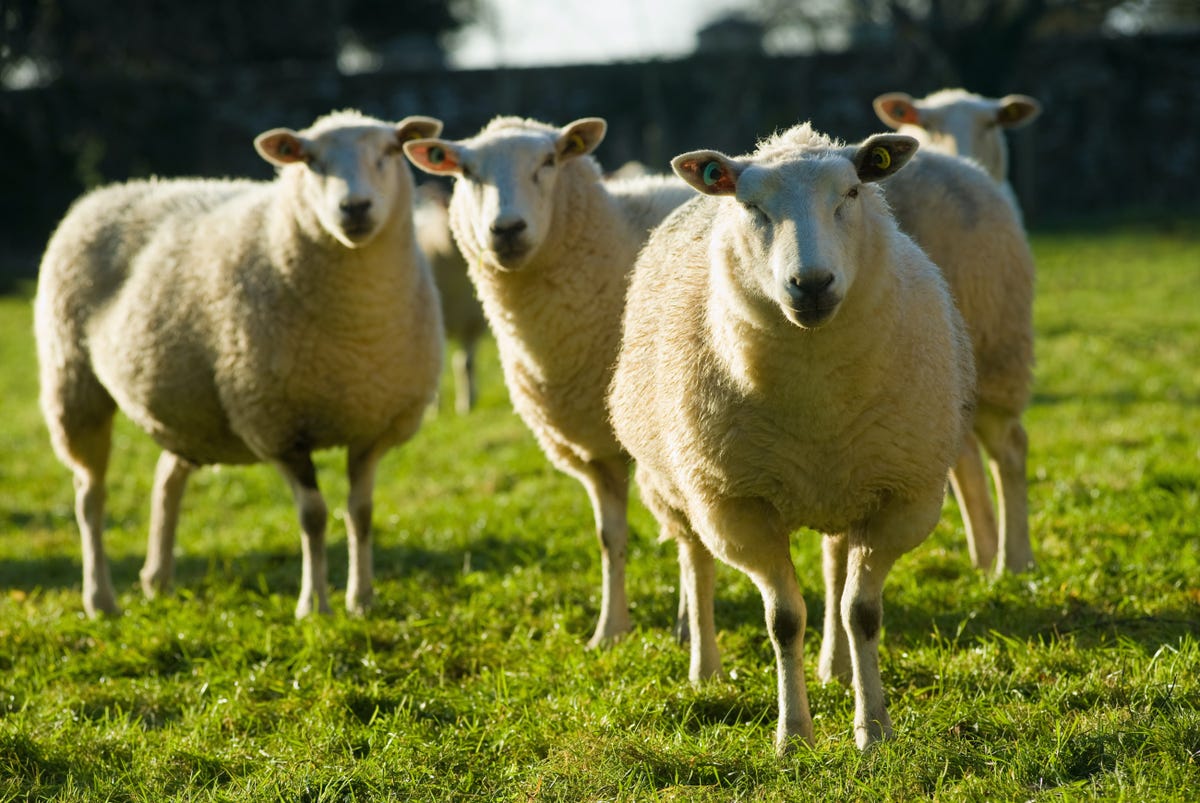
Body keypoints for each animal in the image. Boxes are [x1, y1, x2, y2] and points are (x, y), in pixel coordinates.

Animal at [35, 109, 446, 619]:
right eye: (309, 161)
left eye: (390, 150)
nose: (355, 208)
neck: (356, 330)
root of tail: (103, 194)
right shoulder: (278, 427)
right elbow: (314, 516)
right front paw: (314, 605)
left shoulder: (373, 426)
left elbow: (361, 513)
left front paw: (362, 600)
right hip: (73, 382)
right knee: (89, 495)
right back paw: (101, 600)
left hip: (190, 410)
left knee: (166, 478)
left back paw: (157, 579)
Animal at [609, 125, 974, 753]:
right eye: (751, 206)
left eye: (852, 192)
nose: (812, 284)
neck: (815, 397)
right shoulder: (738, 507)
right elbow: (783, 620)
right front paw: (794, 735)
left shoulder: (901, 497)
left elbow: (861, 613)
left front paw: (873, 729)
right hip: (679, 486)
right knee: (696, 564)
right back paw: (705, 669)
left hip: (846, 485)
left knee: (833, 568)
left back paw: (837, 667)